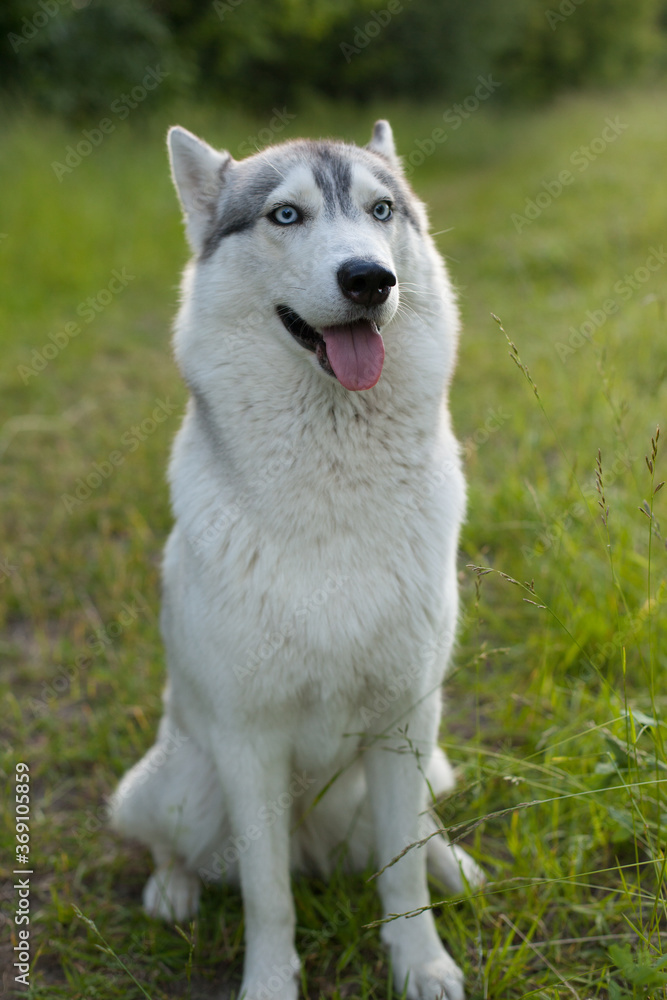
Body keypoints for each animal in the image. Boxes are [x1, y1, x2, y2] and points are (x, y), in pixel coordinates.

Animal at [111, 119, 486, 1000]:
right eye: (286, 215)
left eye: (381, 210)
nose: (370, 279)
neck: (333, 487)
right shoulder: (250, 745)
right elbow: (268, 898)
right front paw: (270, 983)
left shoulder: (403, 718)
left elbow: (400, 872)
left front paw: (421, 963)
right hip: (179, 792)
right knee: (175, 848)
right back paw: (171, 892)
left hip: (417, 762)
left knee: (421, 826)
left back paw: (452, 866)